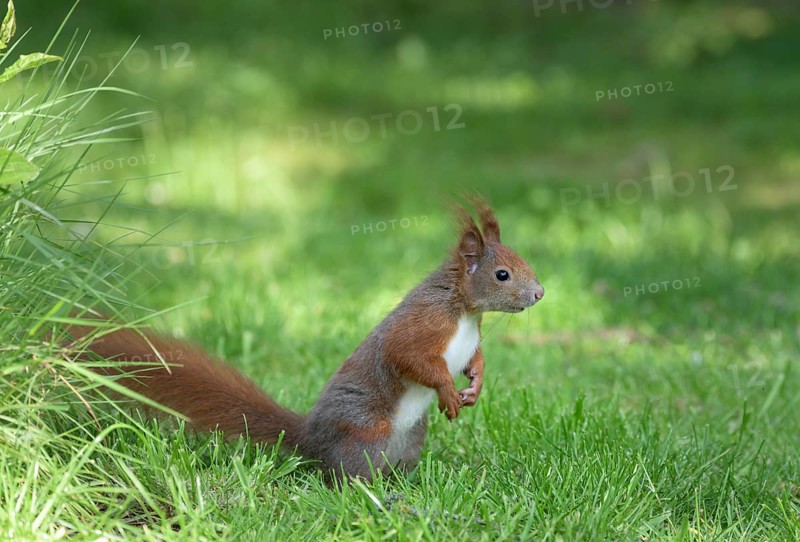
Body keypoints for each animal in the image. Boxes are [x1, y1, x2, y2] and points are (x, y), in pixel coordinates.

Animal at [64, 198, 544, 481]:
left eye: (523, 261)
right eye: (502, 274)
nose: (539, 294)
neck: (465, 310)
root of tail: (310, 440)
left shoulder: (467, 339)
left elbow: (474, 359)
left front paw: (475, 385)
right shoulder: (421, 325)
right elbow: (409, 358)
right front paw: (447, 391)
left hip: (410, 438)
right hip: (366, 430)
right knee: (347, 476)